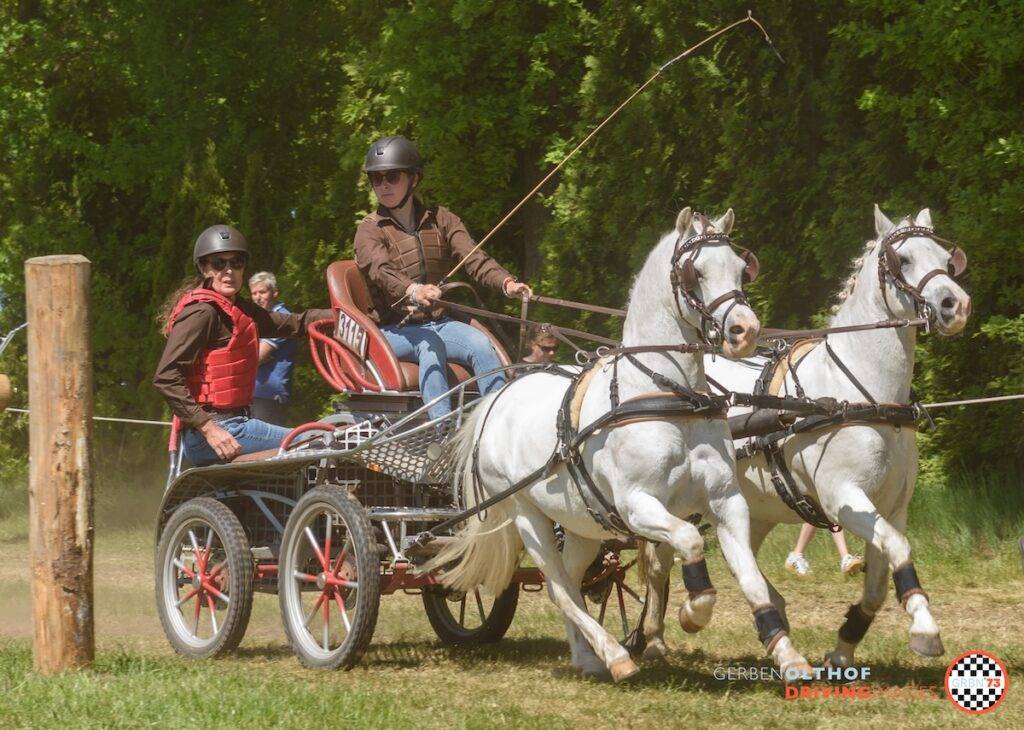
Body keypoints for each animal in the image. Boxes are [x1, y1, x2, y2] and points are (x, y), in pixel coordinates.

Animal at [425, 207, 815, 681]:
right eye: (696, 272)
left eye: (742, 268)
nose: (745, 331)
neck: (667, 397)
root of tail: (496, 399)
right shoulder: (636, 505)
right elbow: (689, 541)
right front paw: (692, 612)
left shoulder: (726, 500)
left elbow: (752, 579)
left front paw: (786, 654)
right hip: (526, 516)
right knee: (559, 587)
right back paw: (616, 656)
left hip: (581, 523)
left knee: (571, 581)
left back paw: (588, 656)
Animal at [637, 206, 972, 668]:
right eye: (903, 259)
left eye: (944, 257)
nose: (955, 305)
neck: (864, 396)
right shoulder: (844, 497)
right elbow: (899, 547)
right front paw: (924, 629)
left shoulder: (892, 505)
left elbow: (880, 579)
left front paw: (844, 646)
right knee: (658, 561)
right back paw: (654, 639)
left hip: (753, 506)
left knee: (738, 556)